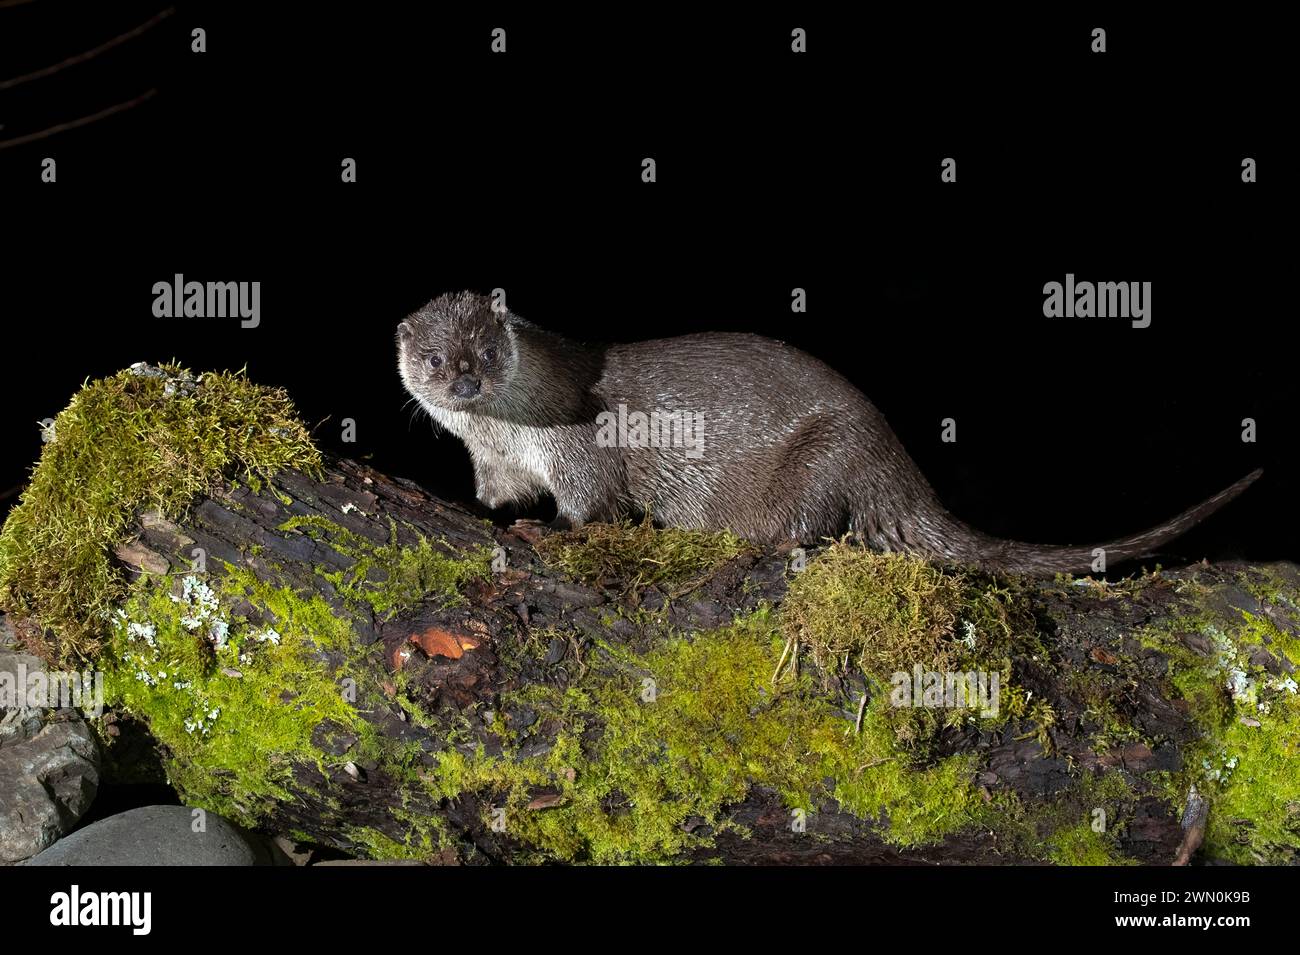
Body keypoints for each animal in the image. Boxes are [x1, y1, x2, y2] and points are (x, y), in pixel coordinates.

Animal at [397, 291, 1258, 574]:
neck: (512, 433)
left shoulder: (578, 449)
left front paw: (553, 533)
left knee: (818, 521)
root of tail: (895, 458)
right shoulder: (495, 464)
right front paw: (487, 514)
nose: (464, 381)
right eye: (436, 358)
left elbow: (592, 509)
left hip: (828, 454)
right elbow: (497, 499)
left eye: (485, 351)